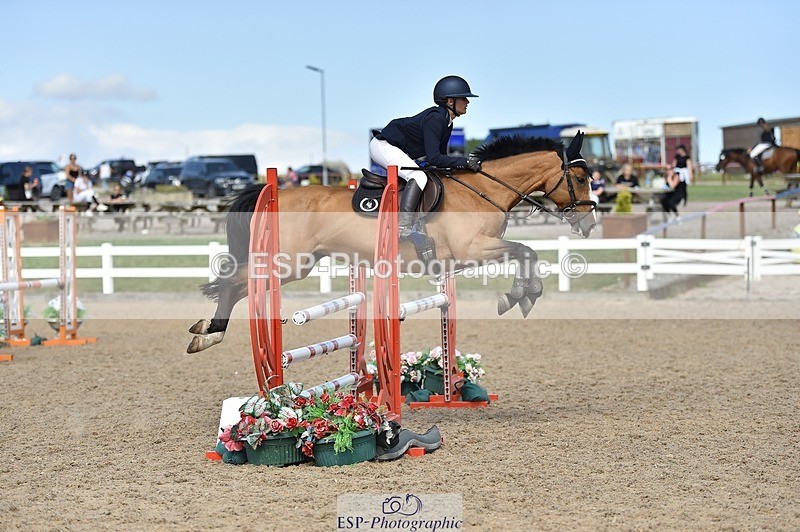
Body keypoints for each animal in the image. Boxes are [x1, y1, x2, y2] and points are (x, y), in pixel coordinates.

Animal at [187, 133, 597, 353]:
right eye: (579, 177)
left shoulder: (467, 256)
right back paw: (210, 333)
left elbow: (527, 253)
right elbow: (526, 251)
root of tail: (271, 193)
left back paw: (207, 330)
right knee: (233, 282)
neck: (485, 190)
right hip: (290, 261)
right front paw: (519, 297)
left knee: (239, 284)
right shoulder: (473, 249)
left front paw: (523, 296)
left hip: (296, 263)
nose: (589, 223)